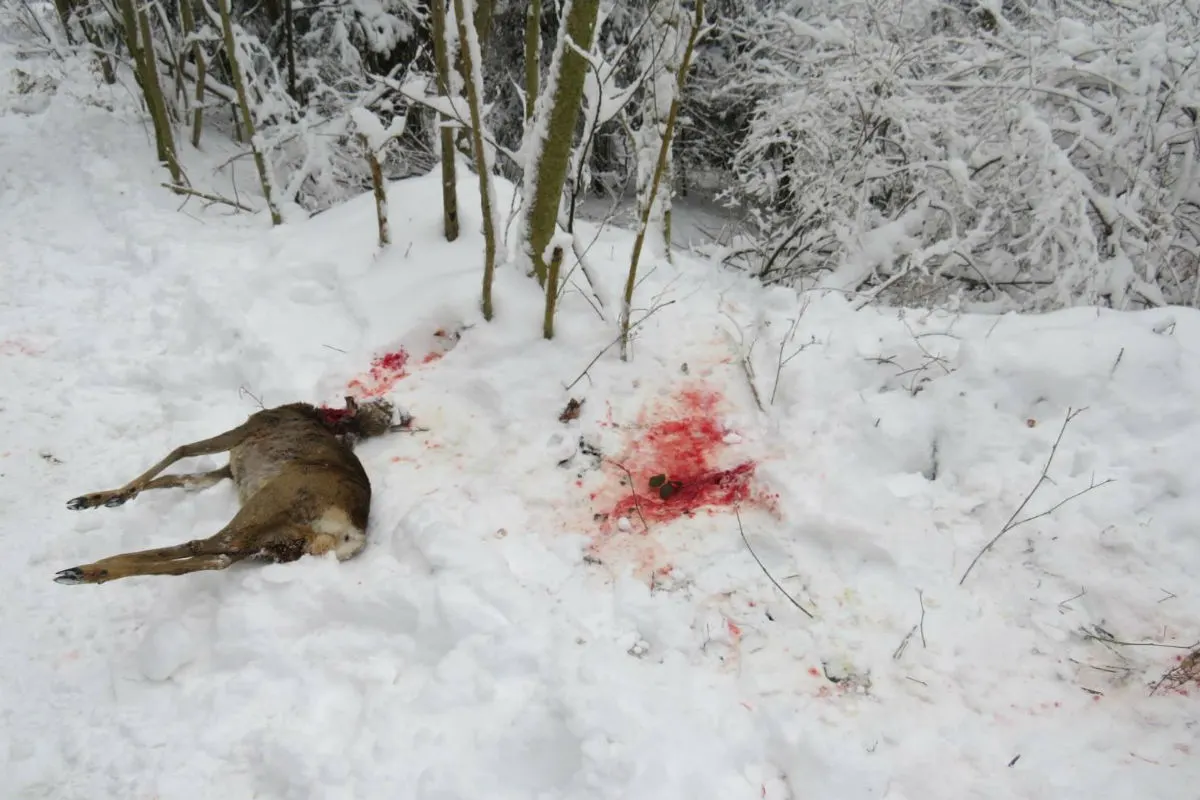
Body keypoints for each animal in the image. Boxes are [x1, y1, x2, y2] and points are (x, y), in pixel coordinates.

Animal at [54, 396, 404, 585]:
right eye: (385, 409)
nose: (404, 414)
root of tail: (349, 535)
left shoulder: (244, 432)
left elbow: (181, 450)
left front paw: (101, 498)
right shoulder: (230, 470)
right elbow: (181, 478)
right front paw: (102, 499)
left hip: (271, 502)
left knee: (203, 545)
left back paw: (84, 571)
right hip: (279, 543)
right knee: (219, 557)